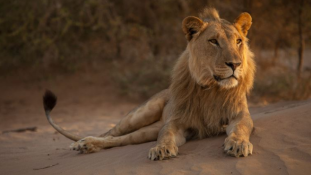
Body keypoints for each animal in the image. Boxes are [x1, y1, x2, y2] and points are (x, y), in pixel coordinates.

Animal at [42, 8, 256, 161]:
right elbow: (166, 135)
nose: (235, 64)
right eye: (213, 41)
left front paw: (238, 144)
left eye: (238, 41)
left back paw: (87, 146)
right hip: (142, 114)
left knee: (117, 140)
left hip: (147, 131)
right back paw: (81, 143)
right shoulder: (175, 122)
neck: (213, 89)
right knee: (111, 133)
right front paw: (161, 149)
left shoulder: (240, 115)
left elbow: (241, 128)